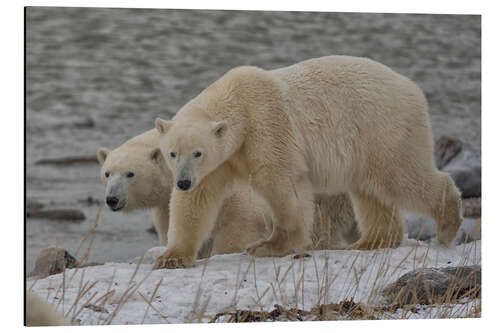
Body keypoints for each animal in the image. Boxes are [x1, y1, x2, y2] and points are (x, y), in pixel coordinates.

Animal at [154, 54, 462, 268]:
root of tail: (412, 87)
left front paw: (267, 245)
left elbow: (282, 183)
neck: (239, 103)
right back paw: (369, 241)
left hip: (383, 127)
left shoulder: (266, 126)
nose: (183, 181)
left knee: (400, 176)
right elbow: (196, 201)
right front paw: (171, 258)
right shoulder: (222, 160)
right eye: (172, 153)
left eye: (198, 152)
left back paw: (447, 225)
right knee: (371, 190)